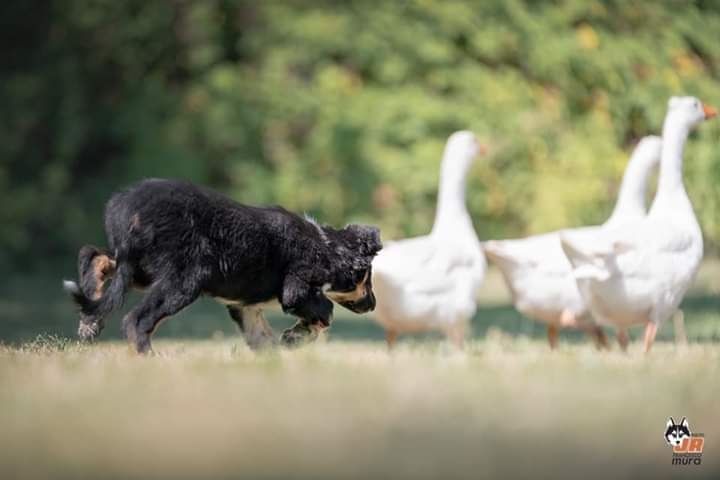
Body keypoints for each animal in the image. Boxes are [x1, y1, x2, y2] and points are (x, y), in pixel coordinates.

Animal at [65, 178, 382, 350]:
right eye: (366, 279)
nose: (373, 305)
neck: (325, 246)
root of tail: (128, 206)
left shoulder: (246, 307)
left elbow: (263, 340)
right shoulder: (297, 289)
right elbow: (325, 313)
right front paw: (296, 338)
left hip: (140, 268)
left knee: (95, 256)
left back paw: (89, 321)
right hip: (184, 280)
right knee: (136, 321)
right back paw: (150, 359)